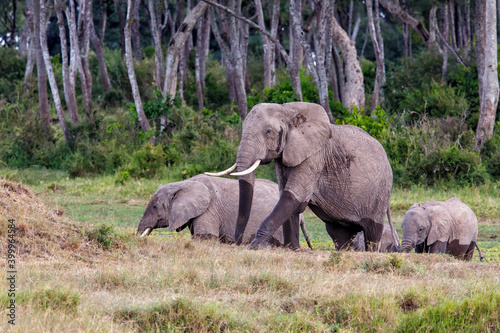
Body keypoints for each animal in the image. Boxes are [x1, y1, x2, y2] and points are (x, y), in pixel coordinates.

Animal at [205, 101, 396, 249]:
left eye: (268, 131)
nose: (237, 242)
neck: (288, 111)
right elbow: (288, 197)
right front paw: (292, 249)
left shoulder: (314, 156)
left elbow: (294, 196)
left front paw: (255, 246)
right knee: (339, 234)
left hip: (380, 192)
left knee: (372, 232)